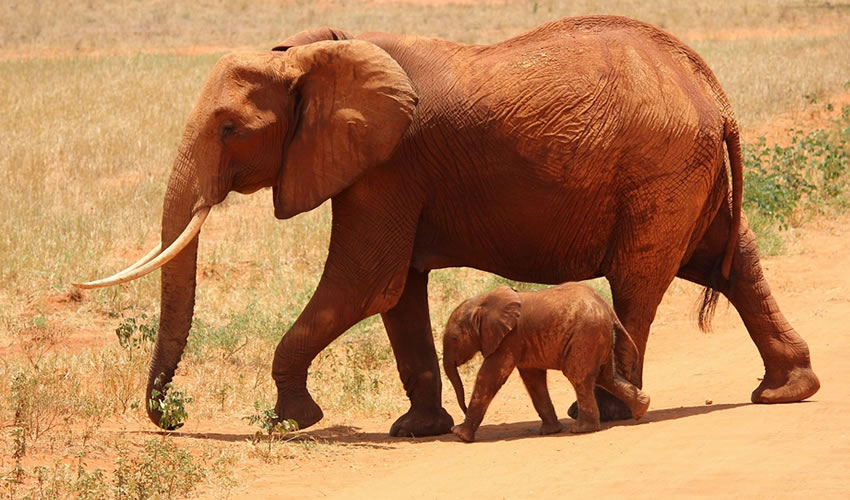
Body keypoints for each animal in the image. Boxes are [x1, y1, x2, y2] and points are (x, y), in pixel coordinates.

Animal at [440, 284, 644, 444]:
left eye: (455, 339)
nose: (463, 409)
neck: (483, 301)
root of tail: (608, 309)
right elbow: (533, 380)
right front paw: (550, 431)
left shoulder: (509, 339)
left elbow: (489, 376)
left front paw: (460, 435)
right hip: (598, 337)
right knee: (606, 377)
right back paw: (642, 409)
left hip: (586, 336)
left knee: (579, 377)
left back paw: (582, 429)